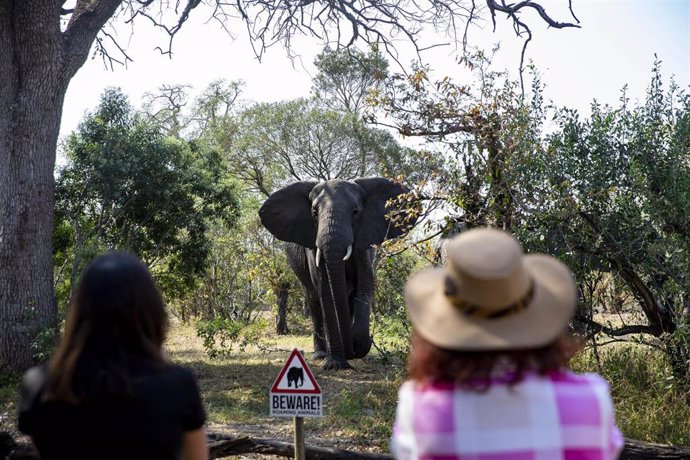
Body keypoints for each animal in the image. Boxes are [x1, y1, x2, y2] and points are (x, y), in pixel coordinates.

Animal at [258, 177, 414, 370]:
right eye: (314, 213)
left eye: (355, 212)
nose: (351, 352)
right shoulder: (313, 245)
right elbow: (324, 289)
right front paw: (335, 364)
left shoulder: (364, 242)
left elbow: (365, 283)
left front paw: (358, 345)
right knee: (313, 299)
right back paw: (320, 354)